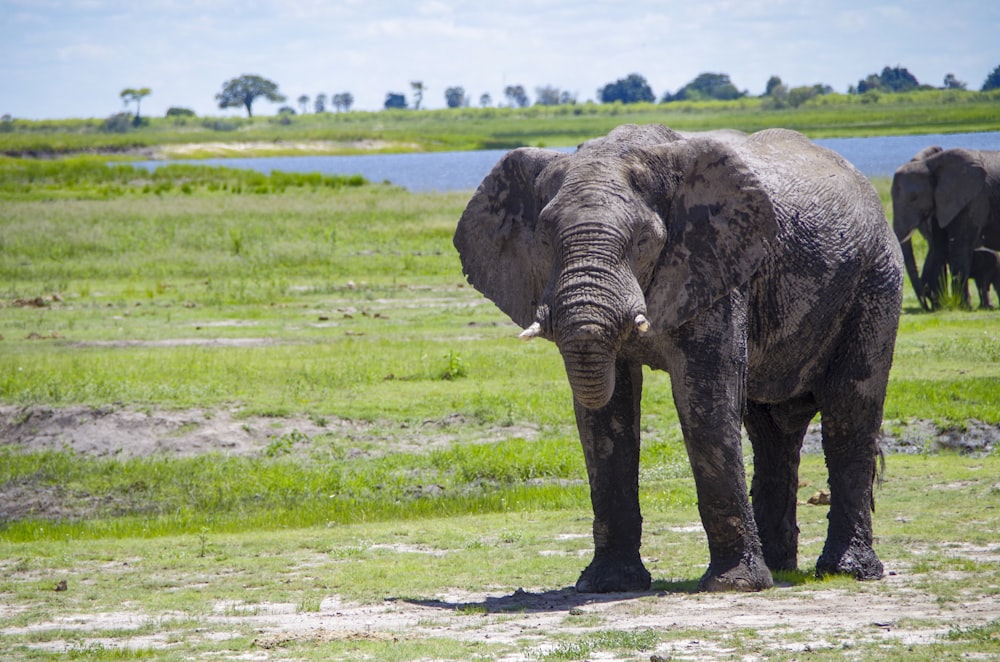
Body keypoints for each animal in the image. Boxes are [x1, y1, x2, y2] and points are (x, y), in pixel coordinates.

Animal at [456, 126, 908, 596]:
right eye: (544, 240)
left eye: (642, 240)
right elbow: (607, 418)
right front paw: (608, 585)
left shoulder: (715, 265)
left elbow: (705, 402)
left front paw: (733, 586)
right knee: (772, 431)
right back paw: (779, 568)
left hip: (875, 281)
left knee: (850, 411)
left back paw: (845, 571)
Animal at [896, 147, 1000, 310]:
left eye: (914, 198)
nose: (925, 306)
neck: (929, 164)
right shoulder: (940, 205)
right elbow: (940, 248)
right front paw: (941, 305)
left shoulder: (974, 199)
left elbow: (959, 247)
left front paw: (963, 306)